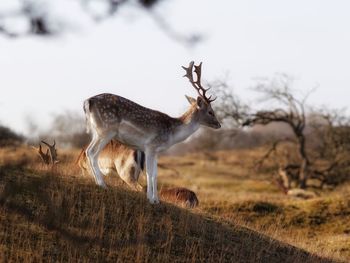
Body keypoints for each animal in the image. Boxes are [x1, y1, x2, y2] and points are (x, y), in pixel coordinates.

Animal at [83, 61, 220, 204]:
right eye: (210, 111)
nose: (219, 124)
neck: (172, 134)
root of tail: (88, 102)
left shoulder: (157, 151)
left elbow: (155, 174)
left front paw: (157, 200)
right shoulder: (150, 146)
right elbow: (149, 173)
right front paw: (150, 198)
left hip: (96, 131)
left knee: (88, 151)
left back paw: (96, 181)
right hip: (106, 130)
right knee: (92, 152)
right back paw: (102, 184)